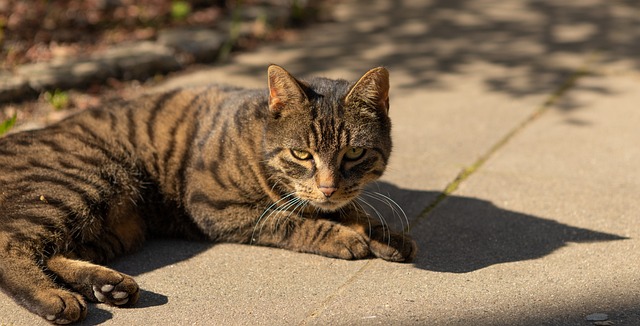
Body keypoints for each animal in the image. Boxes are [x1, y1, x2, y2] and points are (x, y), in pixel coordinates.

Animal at [0, 64, 416, 324]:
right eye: (301, 154)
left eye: (354, 153)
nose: (328, 186)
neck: (256, 139)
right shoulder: (217, 209)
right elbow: (290, 221)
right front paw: (346, 237)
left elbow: (352, 210)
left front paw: (385, 234)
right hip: (83, 183)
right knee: (12, 245)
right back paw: (57, 299)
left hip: (117, 225)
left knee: (53, 252)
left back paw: (106, 286)